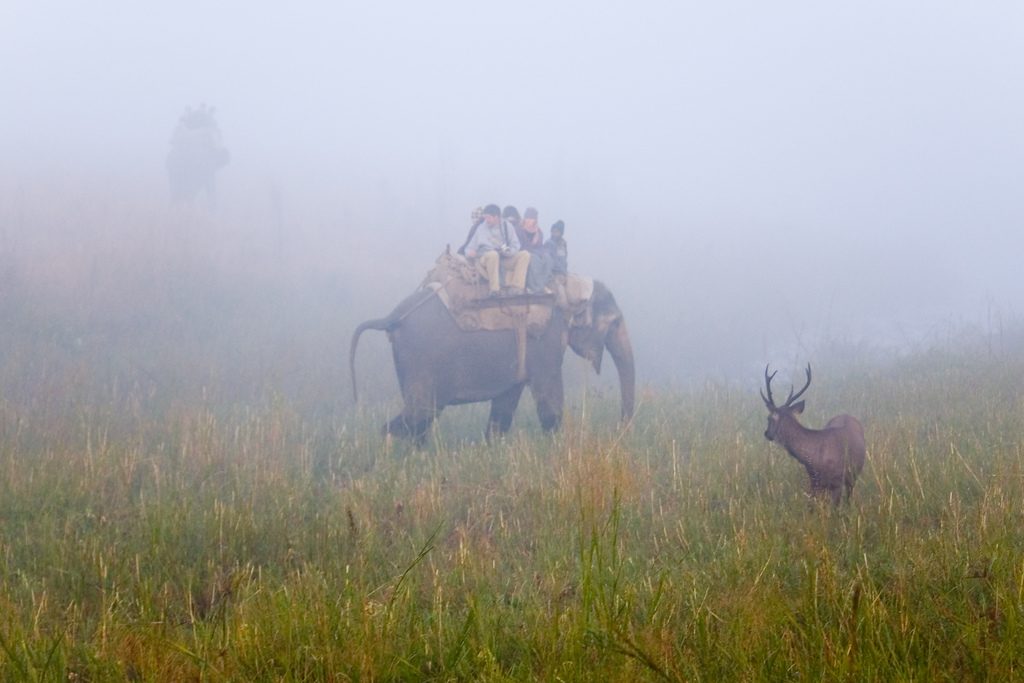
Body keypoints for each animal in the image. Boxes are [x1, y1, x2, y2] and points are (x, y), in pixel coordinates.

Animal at [356, 278, 634, 444]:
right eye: (615, 323)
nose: (620, 429)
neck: (567, 288)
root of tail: (392, 316)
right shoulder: (546, 344)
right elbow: (549, 403)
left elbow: (505, 404)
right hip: (421, 360)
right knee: (419, 413)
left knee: (421, 419)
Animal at [761, 366, 864, 505]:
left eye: (769, 418)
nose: (767, 433)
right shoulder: (814, 482)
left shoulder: (838, 482)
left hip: (852, 476)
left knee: (849, 497)